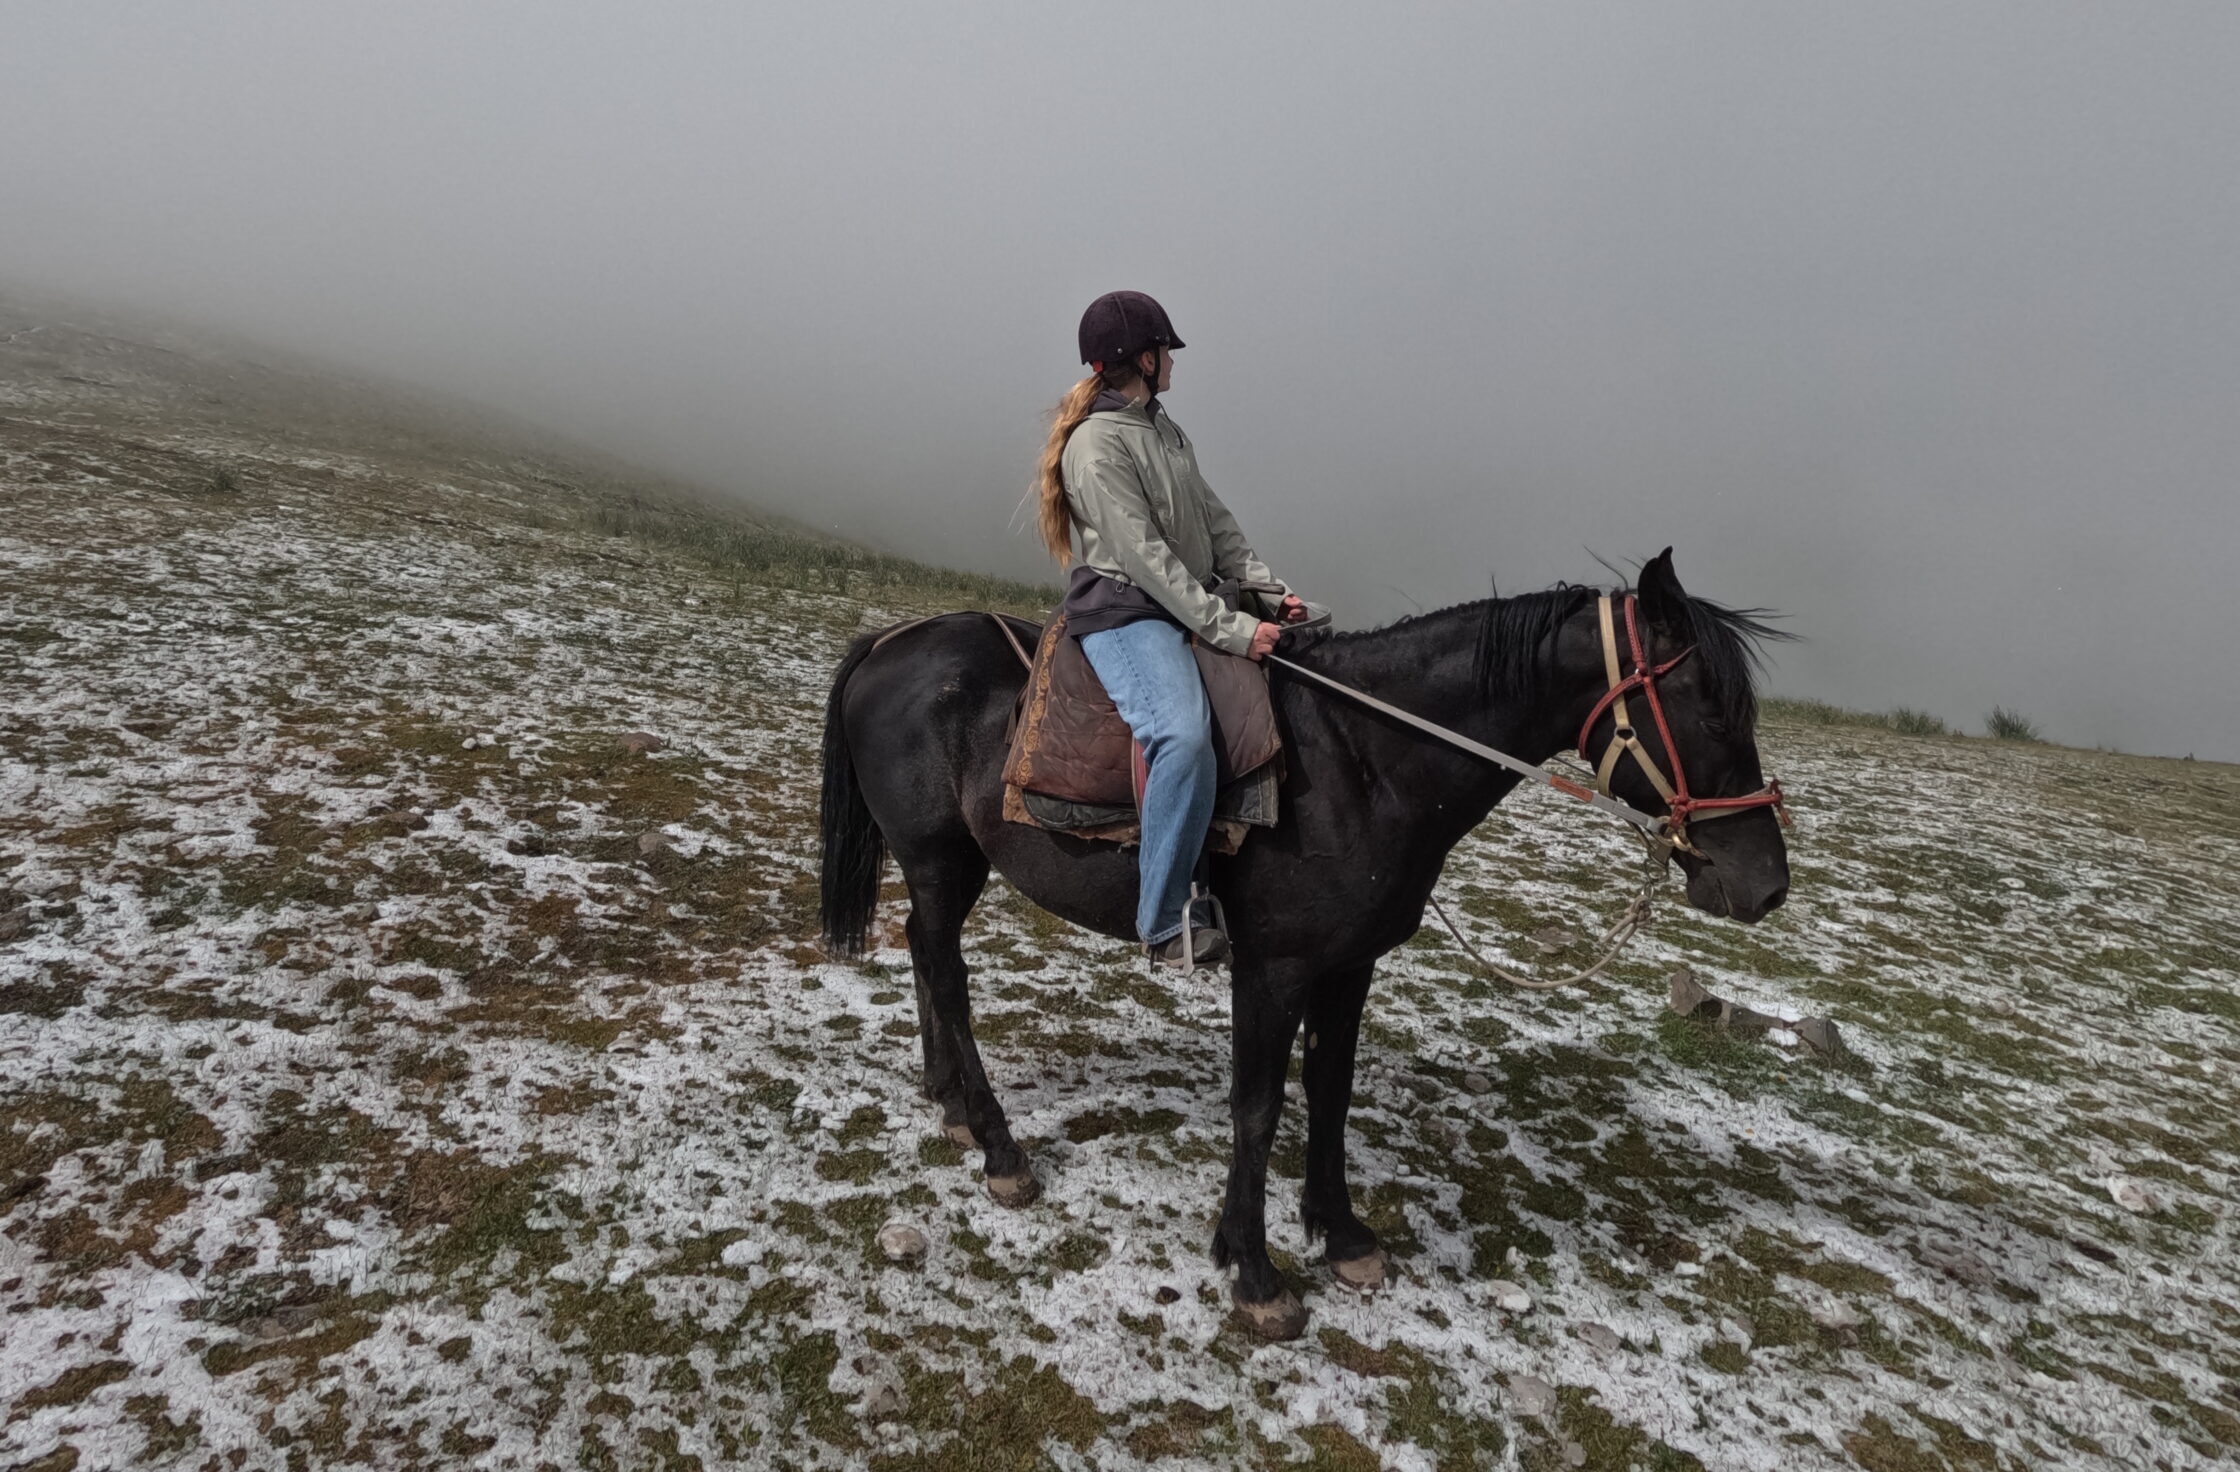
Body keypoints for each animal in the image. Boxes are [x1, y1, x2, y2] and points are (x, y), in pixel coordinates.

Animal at [817, 549, 1790, 1339]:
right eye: (1710, 714)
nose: (1766, 885)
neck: (1364, 760)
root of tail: (892, 640)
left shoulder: (1349, 966)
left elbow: (1330, 1090)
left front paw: (1342, 1233)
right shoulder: (1272, 972)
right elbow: (1258, 1106)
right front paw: (1254, 1272)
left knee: (924, 952)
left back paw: (949, 1102)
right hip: (941, 860)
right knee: (946, 969)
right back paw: (1000, 1149)